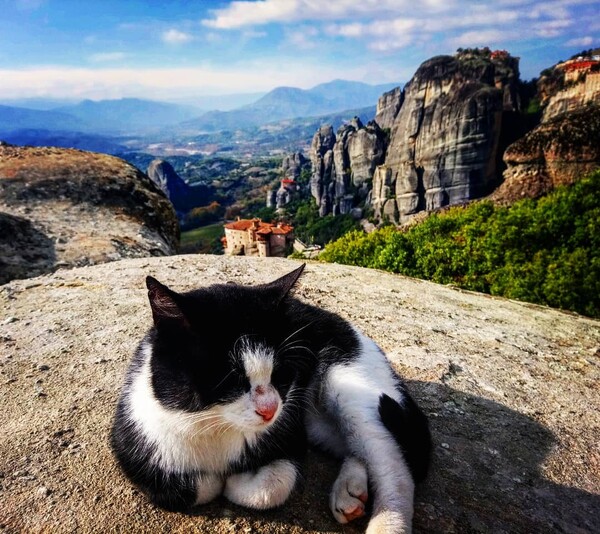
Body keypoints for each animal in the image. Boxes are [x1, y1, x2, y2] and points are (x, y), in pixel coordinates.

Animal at [110, 266, 432, 532]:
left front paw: (236, 481)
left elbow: (273, 486)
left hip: (348, 385)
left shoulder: (291, 435)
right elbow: (191, 488)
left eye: (281, 371)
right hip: (316, 422)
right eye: (230, 378)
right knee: (352, 446)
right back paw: (350, 491)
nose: (270, 409)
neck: (214, 425)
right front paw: (216, 479)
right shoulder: (135, 446)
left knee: (393, 467)